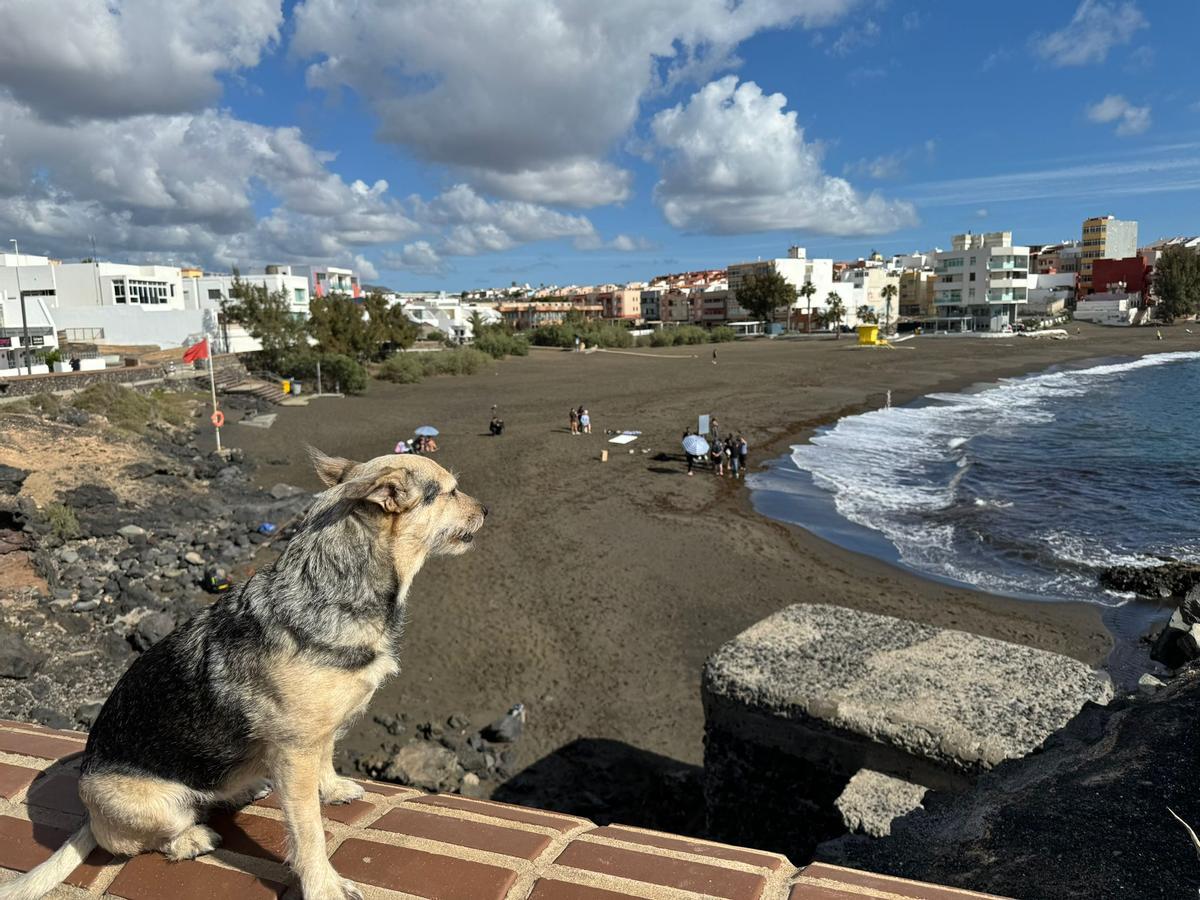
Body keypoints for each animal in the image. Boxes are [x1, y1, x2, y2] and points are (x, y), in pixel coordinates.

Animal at [3, 451, 487, 900]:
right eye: (450, 492)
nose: (486, 509)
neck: (332, 589)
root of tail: (89, 817)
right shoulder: (295, 751)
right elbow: (308, 830)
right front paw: (323, 884)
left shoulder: (319, 733)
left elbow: (326, 759)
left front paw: (331, 789)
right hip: (154, 806)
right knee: (144, 840)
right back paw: (192, 838)